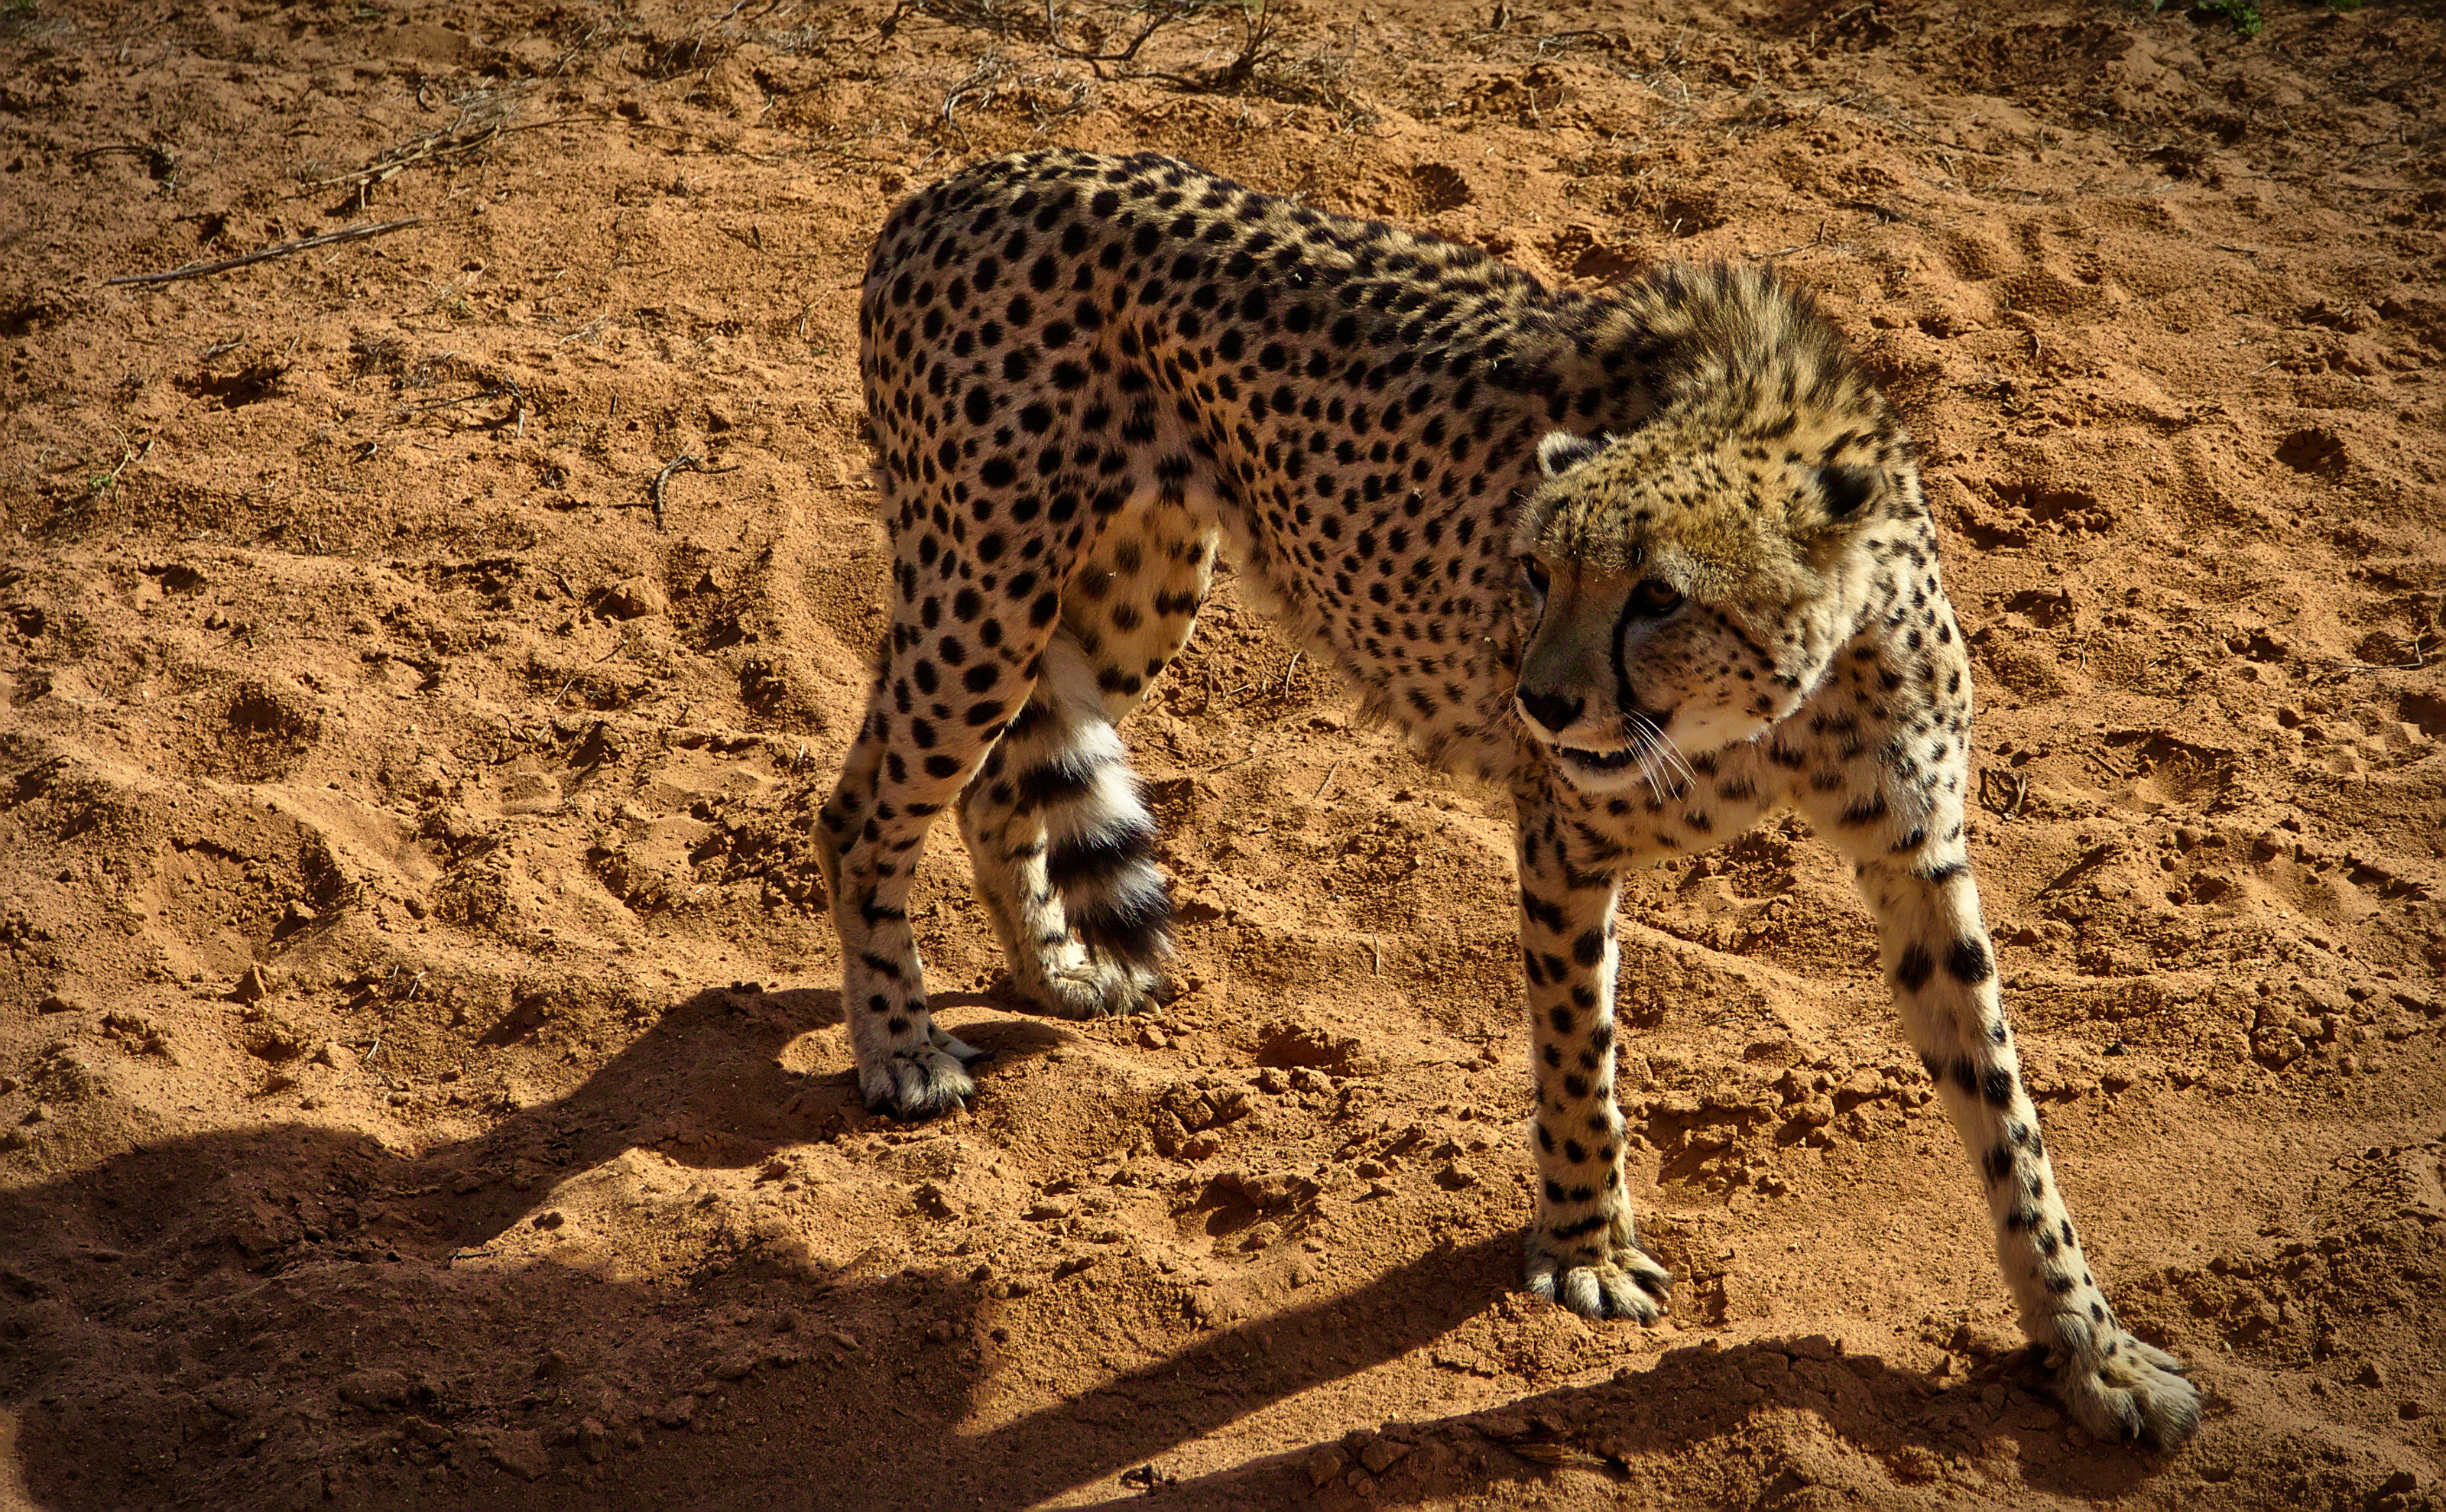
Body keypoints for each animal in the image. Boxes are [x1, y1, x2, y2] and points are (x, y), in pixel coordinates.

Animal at [812, 147, 2201, 1449]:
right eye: (1535, 569)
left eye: (1660, 594)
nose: (1539, 700)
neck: (1779, 708)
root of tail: (964, 178)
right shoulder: (1568, 837)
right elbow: (1580, 1057)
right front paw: (1585, 1249)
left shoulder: (1918, 855)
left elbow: (2008, 1115)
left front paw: (2094, 1350)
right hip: (986, 590)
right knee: (861, 809)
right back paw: (903, 1048)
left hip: (1130, 596)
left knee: (1003, 774)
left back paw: (1053, 968)